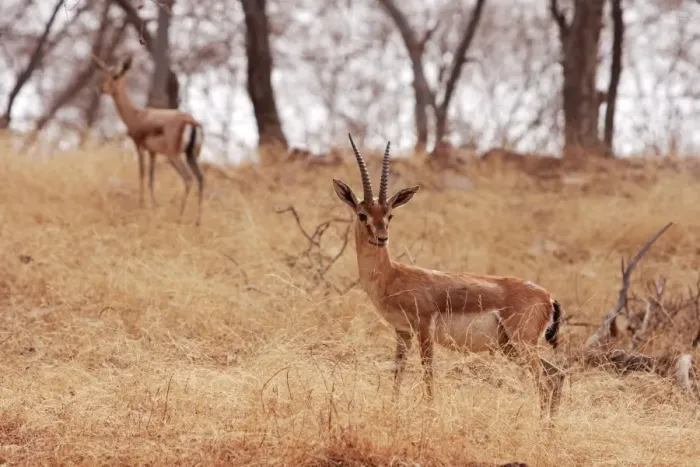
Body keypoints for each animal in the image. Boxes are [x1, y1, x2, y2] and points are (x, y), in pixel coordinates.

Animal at [91, 54, 205, 225]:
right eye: (105, 73)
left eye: (116, 75)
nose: (101, 89)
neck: (137, 115)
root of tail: (191, 121)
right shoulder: (153, 152)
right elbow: (151, 178)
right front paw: (154, 205)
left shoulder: (139, 146)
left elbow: (142, 174)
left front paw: (142, 204)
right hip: (191, 155)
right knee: (201, 179)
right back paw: (197, 221)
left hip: (174, 156)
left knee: (188, 178)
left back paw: (180, 216)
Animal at [332, 134, 565, 419]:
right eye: (362, 214)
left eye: (390, 215)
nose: (381, 238)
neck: (392, 275)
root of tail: (548, 297)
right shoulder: (402, 331)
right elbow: (398, 372)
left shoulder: (424, 327)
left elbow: (428, 372)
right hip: (512, 347)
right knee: (557, 375)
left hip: (522, 344)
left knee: (545, 381)